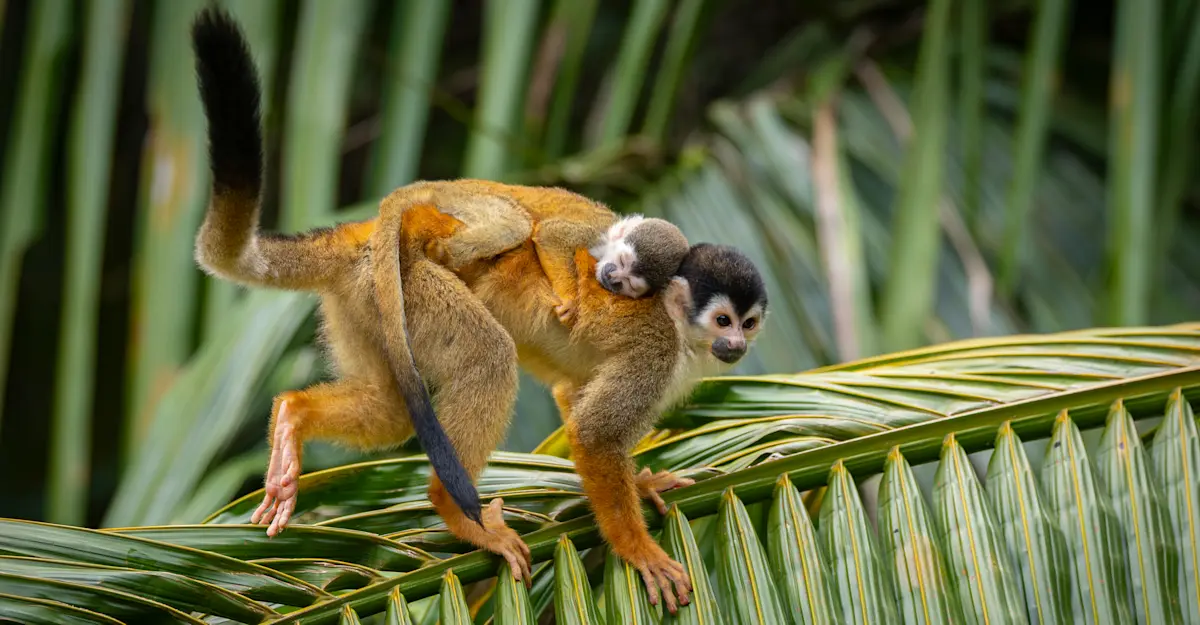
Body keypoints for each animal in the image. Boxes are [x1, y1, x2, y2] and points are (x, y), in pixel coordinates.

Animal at [190, 8, 767, 612]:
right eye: (723, 321)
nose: (736, 345)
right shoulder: (655, 351)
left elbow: (572, 394)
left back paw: (293, 416)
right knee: (488, 353)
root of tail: (368, 238)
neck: (682, 334)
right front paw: (638, 550)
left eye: (749, 324)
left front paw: (644, 483)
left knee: (394, 408)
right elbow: (594, 437)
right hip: (416, 288)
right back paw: (455, 508)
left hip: (367, 304)